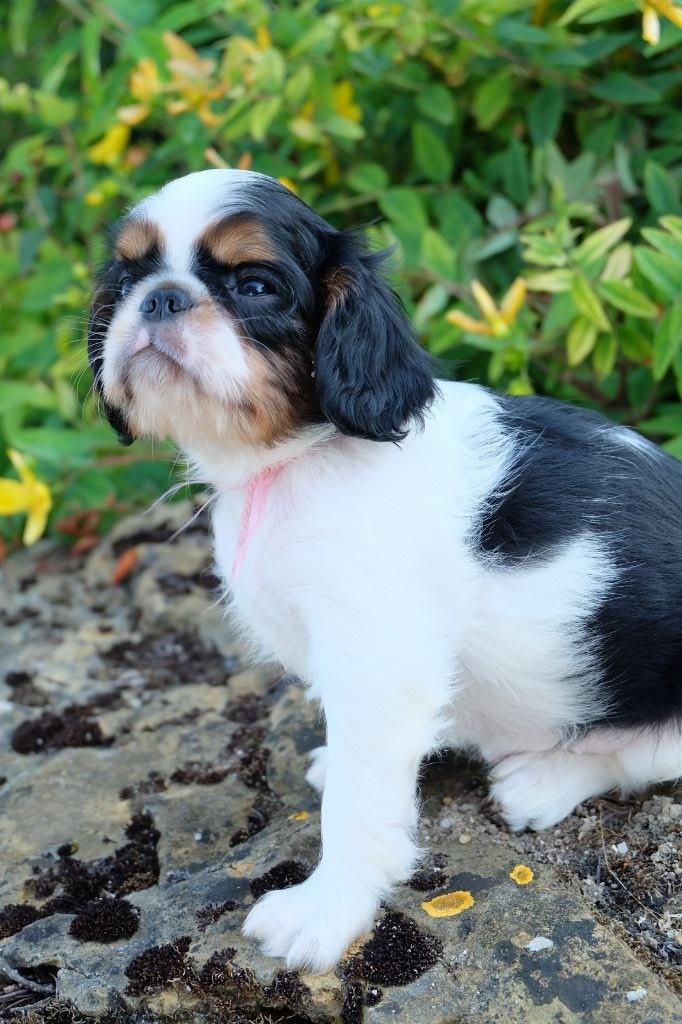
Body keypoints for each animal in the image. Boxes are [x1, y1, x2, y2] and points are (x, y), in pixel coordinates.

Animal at [88, 169, 682, 973]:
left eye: (255, 285)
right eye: (128, 278)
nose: (161, 297)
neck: (296, 459)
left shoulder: (379, 665)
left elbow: (358, 806)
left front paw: (324, 911)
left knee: (643, 755)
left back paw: (542, 778)